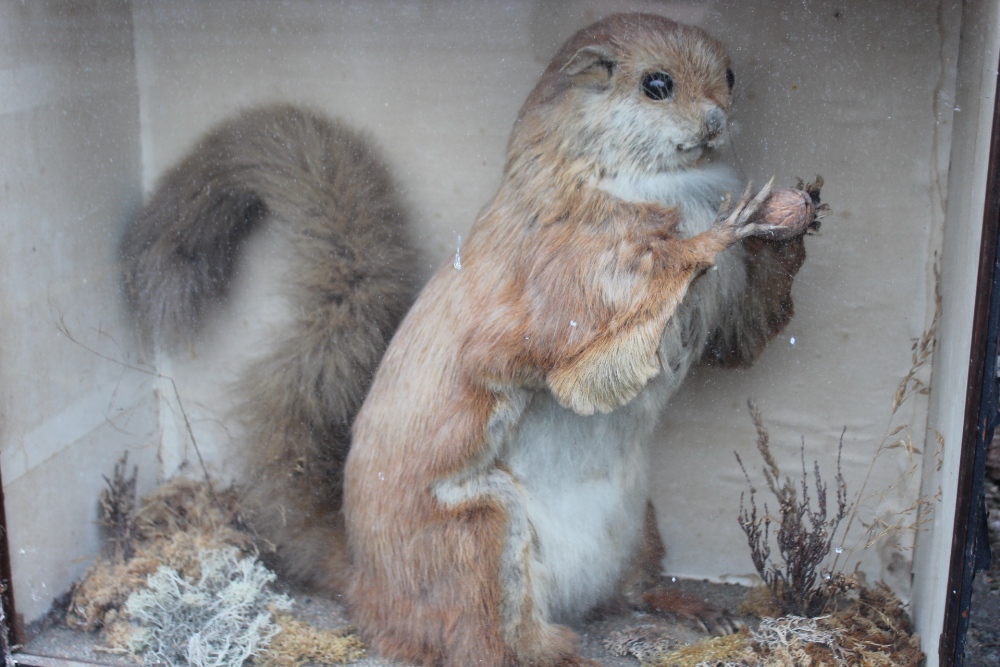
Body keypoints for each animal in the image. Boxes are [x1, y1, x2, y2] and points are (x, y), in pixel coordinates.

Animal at [344, 13, 820, 667]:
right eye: (656, 84)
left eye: (729, 75)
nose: (715, 122)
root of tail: (362, 592)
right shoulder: (561, 276)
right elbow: (570, 334)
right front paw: (724, 229)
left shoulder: (726, 318)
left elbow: (739, 342)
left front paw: (797, 209)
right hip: (481, 536)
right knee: (488, 644)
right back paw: (569, 651)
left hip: (640, 529)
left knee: (630, 592)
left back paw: (697, 608)